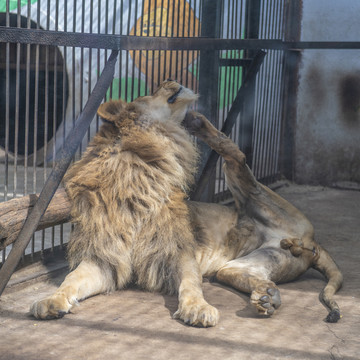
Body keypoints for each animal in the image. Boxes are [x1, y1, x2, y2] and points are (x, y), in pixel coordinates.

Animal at [30, 80, 340, 324]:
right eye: (151, 91)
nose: (168, 79)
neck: (135, 172)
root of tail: (310, 242)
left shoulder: (179, 250)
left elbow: (191, 284)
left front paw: (198, 309)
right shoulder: (105, 257)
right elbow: (71, 279)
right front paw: (51, 300)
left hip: (254, 194)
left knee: (237, 157)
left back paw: (197, 122)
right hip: (239, 267)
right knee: (256, 274)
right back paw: (267, 297)